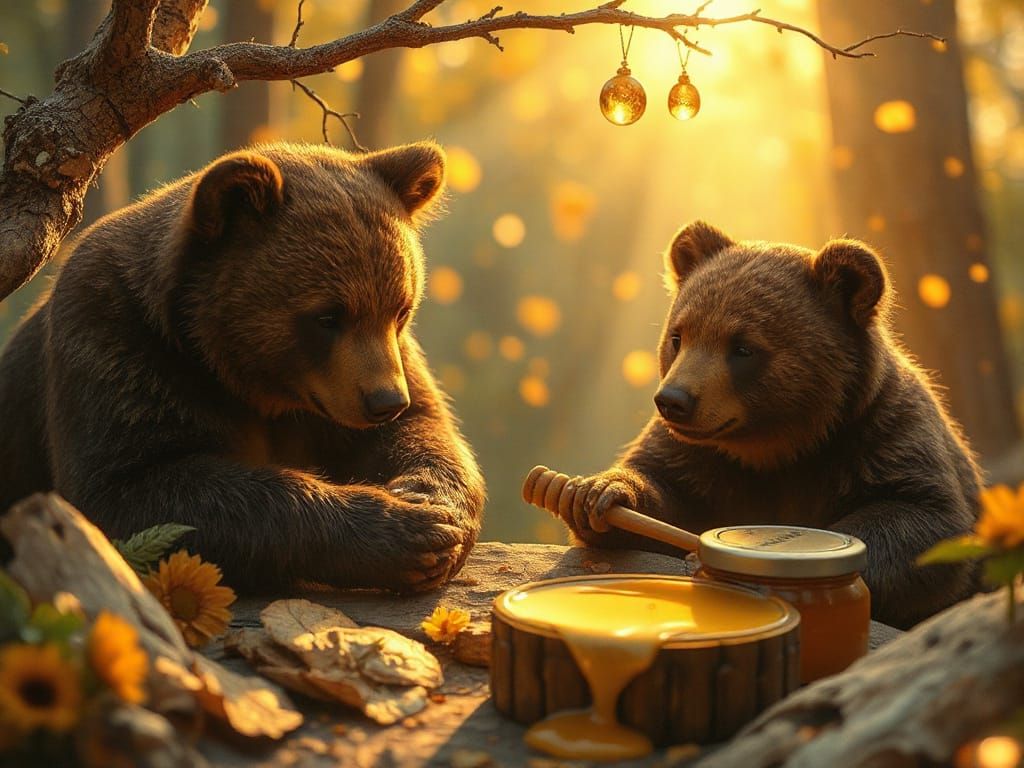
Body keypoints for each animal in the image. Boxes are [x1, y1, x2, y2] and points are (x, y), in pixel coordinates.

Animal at [0, 141, 485, 594]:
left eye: (400, 309)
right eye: (327, 316)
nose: (385, 401)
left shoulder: (372, 375)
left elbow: (424, 426)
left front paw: (429, 503)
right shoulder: (117, 344)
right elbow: (128, 489)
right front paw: (407, 532)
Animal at [538, 221, 980, 629]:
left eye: (743, 347)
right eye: (678, 336)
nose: (674, 401)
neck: (782, 444)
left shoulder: (879, 436)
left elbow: (922, 517)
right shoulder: (700, 458)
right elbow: (661, 488)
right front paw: (592, 494)